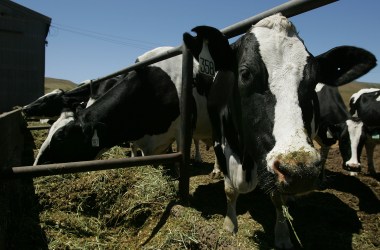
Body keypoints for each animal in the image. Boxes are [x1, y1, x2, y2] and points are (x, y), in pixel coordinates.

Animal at [183, 13, 376, 248]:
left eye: (314, 80)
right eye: (245, 74)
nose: (301, 171)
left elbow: (278, 198)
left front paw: (283, 235)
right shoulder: (222, 141)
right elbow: (230, 190)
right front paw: (229, 226)